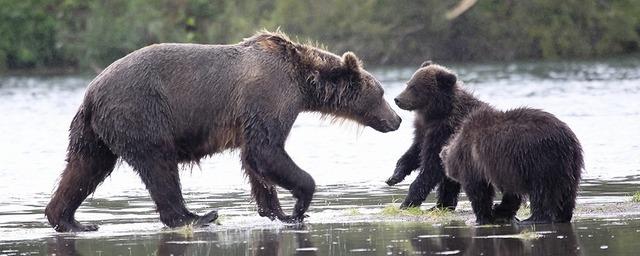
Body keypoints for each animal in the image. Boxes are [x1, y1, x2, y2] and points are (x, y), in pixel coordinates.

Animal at [46, 31, 400, 232]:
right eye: (381, 92)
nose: (396, 119)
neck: (302, 81)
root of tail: (91, 92)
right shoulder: (270, 94)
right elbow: (267, 150)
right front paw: (299, 206)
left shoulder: (250, 116)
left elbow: (254, 161)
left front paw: (276, 211)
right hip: (141, 112)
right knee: (159, 165)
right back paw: (196, 216)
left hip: (94, 132)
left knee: (85, 168)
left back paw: (71, 220)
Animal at [392, 62, 584, 224]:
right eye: (408, 83)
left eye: (414, 87)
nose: (397, 99)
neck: (437, 113)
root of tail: (571, 140)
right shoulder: (426, 131)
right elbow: (415, 153)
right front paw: (395, 176)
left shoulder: (446, 132)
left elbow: (431, 168)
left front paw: (407, 202)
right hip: (566, 166)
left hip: (541, 161)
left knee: (543, 190)